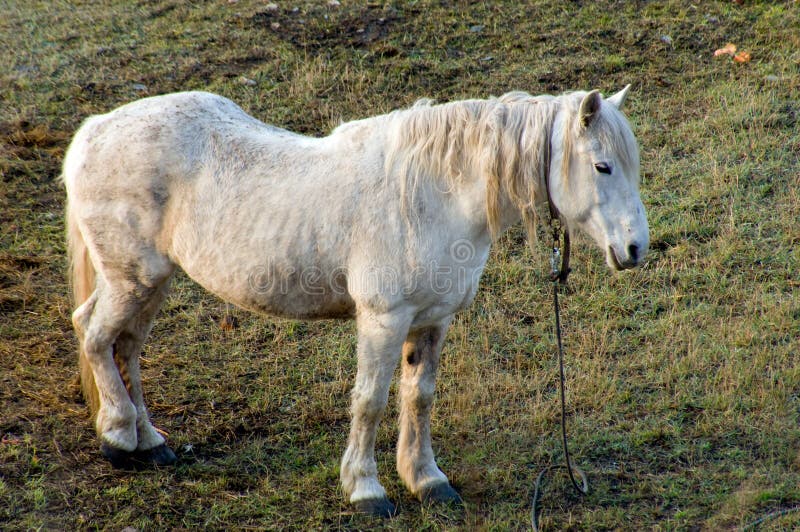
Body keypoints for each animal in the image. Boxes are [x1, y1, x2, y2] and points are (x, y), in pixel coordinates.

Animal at [62, 86, 648, 516]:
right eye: (602, 166)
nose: (636, 248)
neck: (430, 197)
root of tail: (94, 131)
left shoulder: (432, 321)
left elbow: (419, 397)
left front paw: (427, 480)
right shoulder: (383, 321)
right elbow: (370, 401)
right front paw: (366, 489)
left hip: (152, 282)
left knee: (125, 347)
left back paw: (149, 441)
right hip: (131, 278)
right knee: (95, 335)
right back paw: (119, 438)